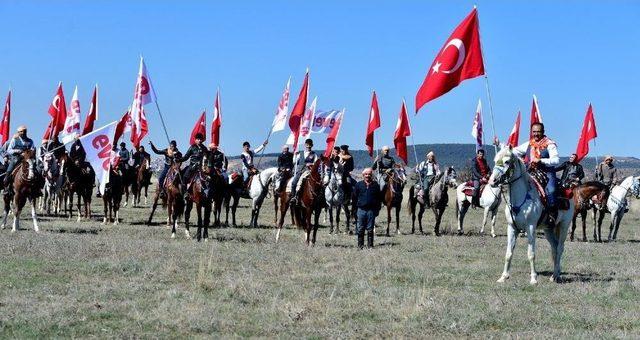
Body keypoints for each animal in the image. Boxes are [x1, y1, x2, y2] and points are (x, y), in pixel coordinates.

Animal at [490, 146, 576, 284]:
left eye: (507, 161)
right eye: (495, 160)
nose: (492, 181)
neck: (520, 198)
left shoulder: (530, 227)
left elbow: (531, 254)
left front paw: (533, 279)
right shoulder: (511, 227)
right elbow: (508, 253)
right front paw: (503, 276)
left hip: (563, 225)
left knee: (560, 248)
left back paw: (556, 275)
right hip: (548, 229)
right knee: (554, 247)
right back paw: (555, 274)